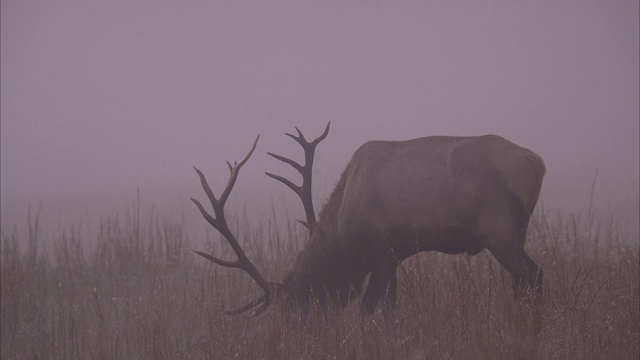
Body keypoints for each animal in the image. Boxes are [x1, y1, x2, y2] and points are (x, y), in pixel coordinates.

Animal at [191, 123, 544, 316]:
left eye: (300, 300)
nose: (303, 333)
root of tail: (536, 162)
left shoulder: (379, 251)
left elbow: (371, 309)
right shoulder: (393, 256)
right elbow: (384, 305)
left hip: (498, 230)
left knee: (530, 277)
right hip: (516, 230)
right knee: (531, 277)